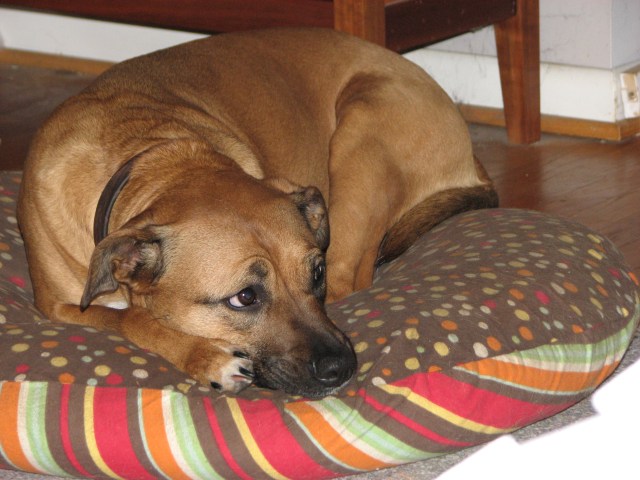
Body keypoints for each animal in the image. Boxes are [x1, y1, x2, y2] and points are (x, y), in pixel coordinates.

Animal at [17, 28, 498, 398]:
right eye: (245, 297)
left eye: (316, 273)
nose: (341, 368)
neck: (152, 157)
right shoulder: (57, 305)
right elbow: (128, 318)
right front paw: (205, 355)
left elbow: (133, 315)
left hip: (363, 133)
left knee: (353, 278)